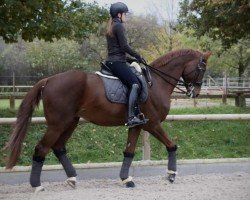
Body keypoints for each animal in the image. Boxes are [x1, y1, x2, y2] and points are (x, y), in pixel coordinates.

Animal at [4, 48, 211, 192]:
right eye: (202, 68)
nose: (195, 92)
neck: (156, 83)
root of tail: (48, 80)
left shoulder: (138, 125)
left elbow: (129, 152)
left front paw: (126, 179)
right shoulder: (152, 124)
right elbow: (171, 145)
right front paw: (171, 175)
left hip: (71, 122)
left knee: (59, 147)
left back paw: (72, 179)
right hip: (58, 124)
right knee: (42, 148)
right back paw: (37, 185)